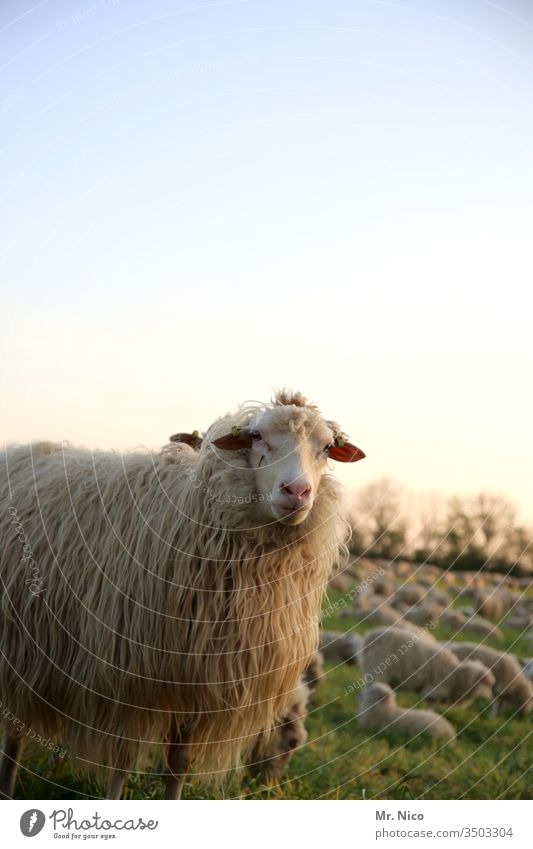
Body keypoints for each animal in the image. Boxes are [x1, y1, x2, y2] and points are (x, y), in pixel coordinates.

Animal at [0, 388, 366, 800]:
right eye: (256, 436)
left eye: (326, 447)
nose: (297, 492)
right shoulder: (129, 673)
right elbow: (123, 760)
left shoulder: (199, 680)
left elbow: (179, 764)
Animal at [360, 628, 492, 704]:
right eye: (486, 684)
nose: (489, 698)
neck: (455, 675)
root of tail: (368, 637)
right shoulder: (434, 689)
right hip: (378, 670)